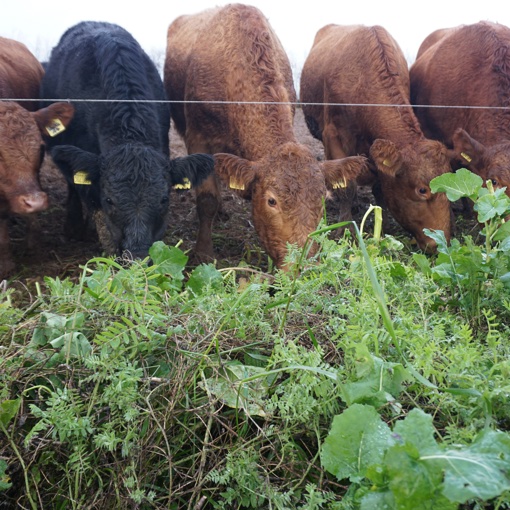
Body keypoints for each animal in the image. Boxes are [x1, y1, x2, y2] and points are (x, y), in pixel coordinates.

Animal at [163, 3, 366, 268]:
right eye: (272, 201)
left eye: (322, 198)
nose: (301, 263)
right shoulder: (198, 139)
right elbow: (207, 200)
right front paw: (204, 254)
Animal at [300, 24, 452, 252]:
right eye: (422, 190)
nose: (440, 243)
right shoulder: (333, 137)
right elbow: (347, 186)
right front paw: (344, 230)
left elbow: (380, 188)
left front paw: (384, 226)